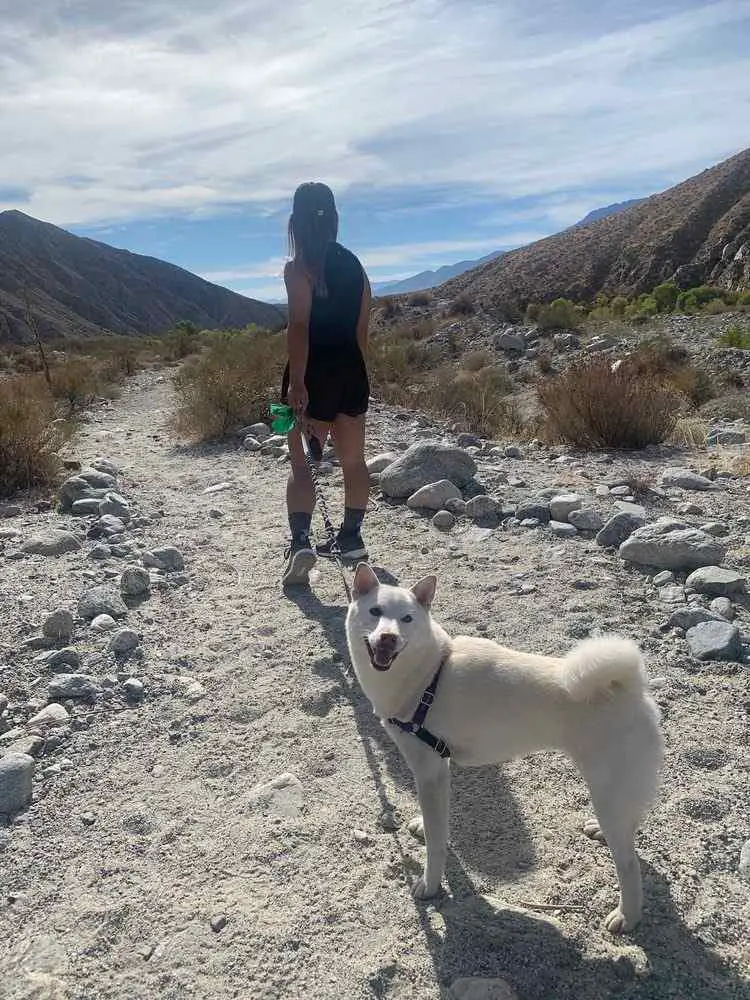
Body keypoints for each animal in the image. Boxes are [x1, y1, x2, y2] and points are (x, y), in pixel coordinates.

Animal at [346, 568, 664, 932]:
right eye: (376, 612)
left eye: (407, 619)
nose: (387, 638)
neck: (427, 676)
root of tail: (632, 689)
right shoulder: (438, 769)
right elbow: (437, 823)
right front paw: (423, 826)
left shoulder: (428, 772)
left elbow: (437, 845)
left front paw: (430, 884)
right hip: (618, 792)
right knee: (630, 825)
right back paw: (601, 833)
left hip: (608, 791)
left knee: (628, 862)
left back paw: (627, 916)